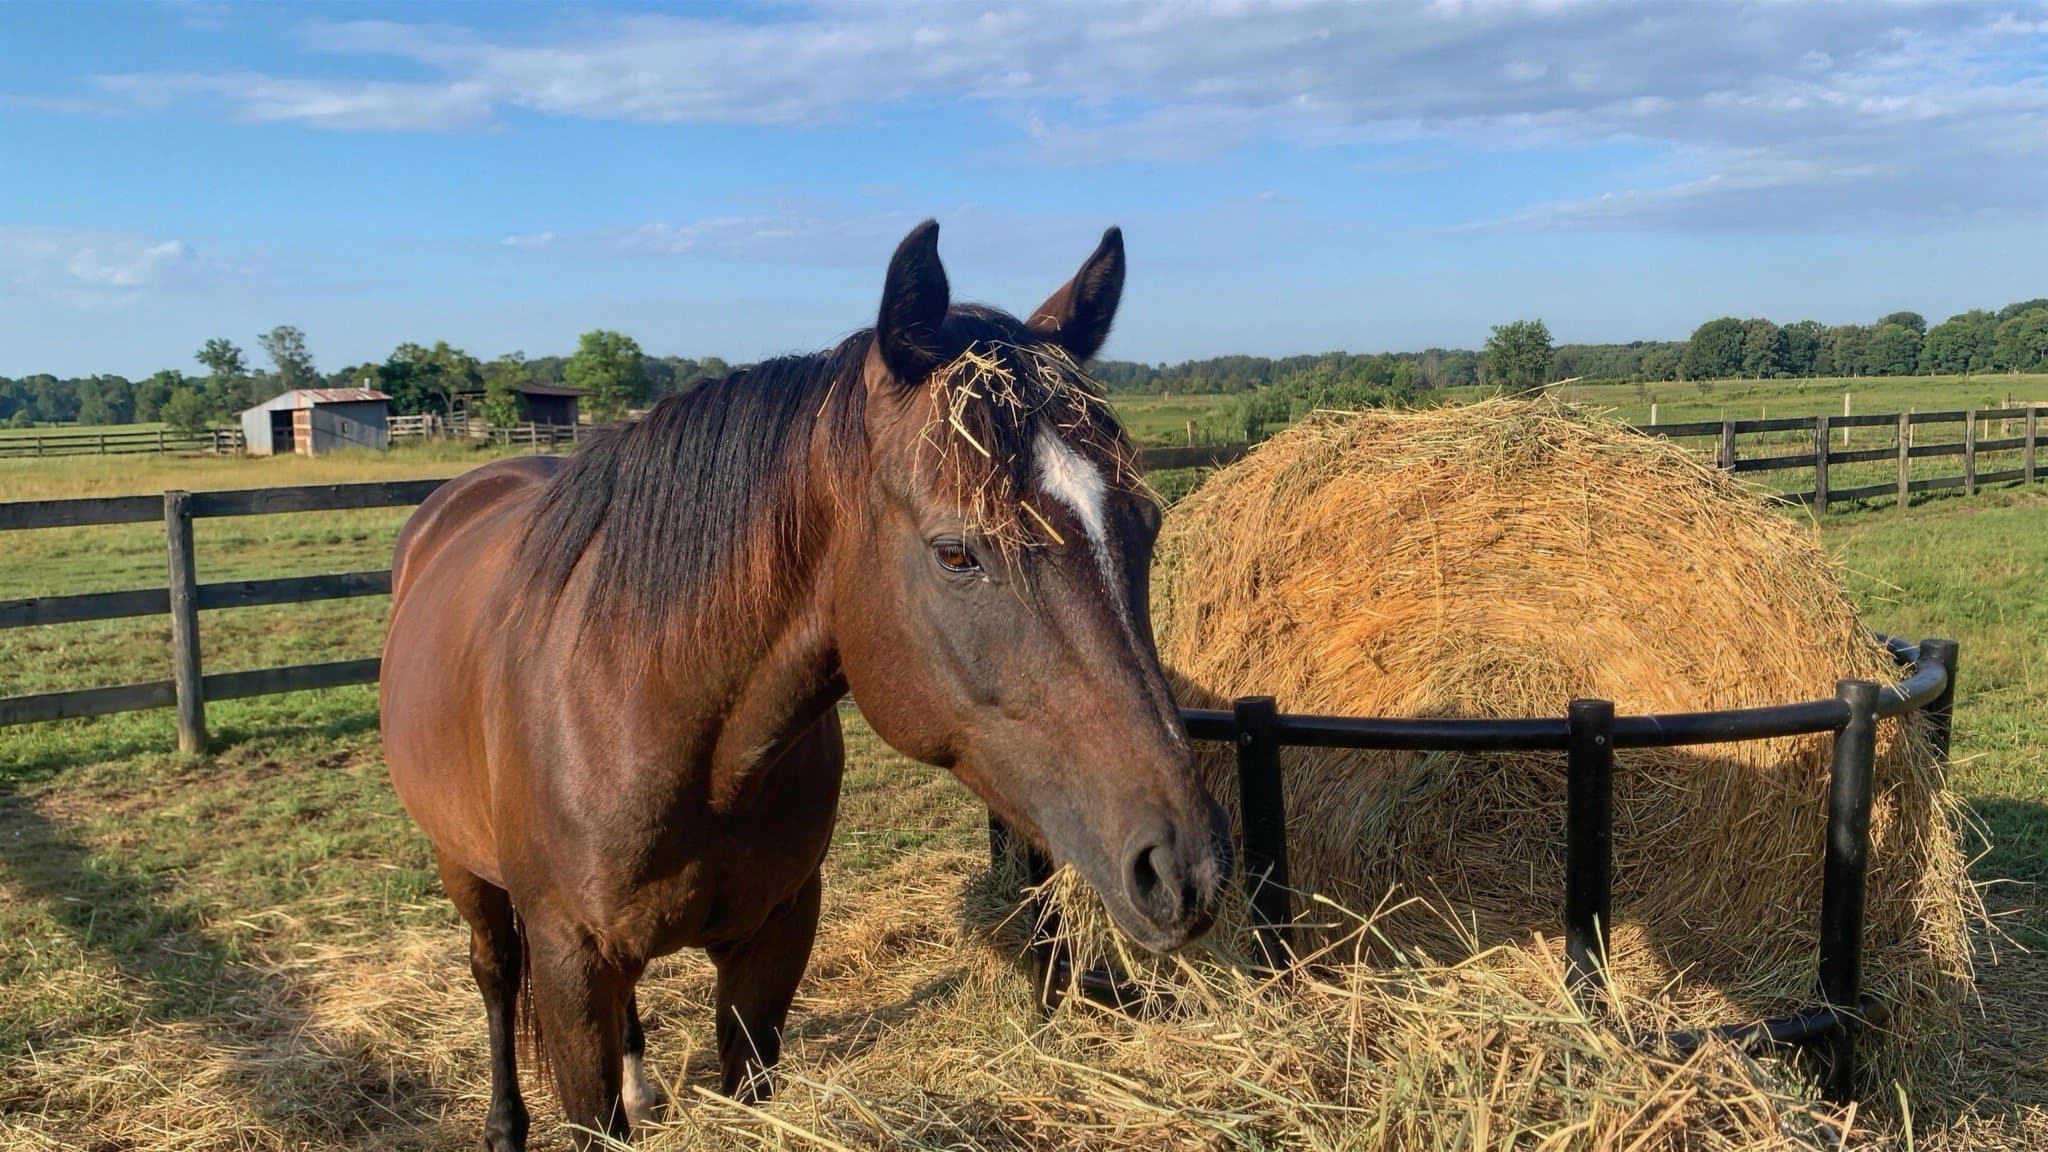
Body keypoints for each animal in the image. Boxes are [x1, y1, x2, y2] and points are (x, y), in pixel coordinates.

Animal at [380, 220, 1232, 1150]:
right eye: (956, 554)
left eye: (1144, 524)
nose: (1185, 868)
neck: (657, 722)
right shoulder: (570, 965)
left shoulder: (774, 940)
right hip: (463, 868)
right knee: (495, 975)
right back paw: (503, 1122)